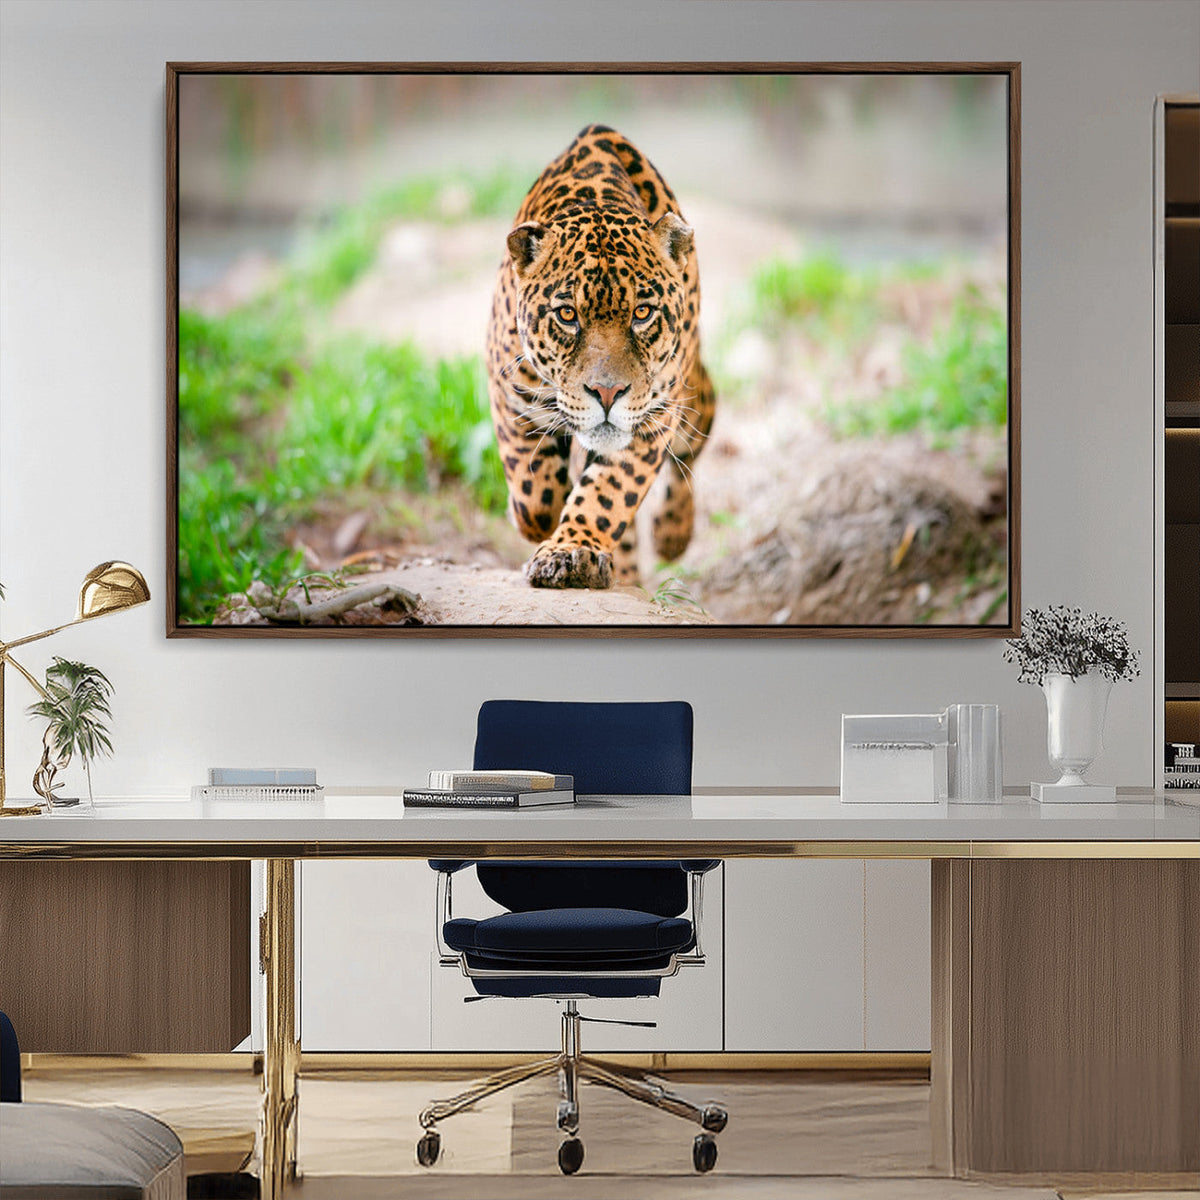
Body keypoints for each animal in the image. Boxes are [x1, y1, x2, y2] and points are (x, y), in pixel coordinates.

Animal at [485, 124, 716, 589]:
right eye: (567, 315)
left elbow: (607, 493)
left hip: (692, 399)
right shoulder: (509, 392)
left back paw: (672, 535)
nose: (607, 394)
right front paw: (538, 521)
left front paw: (572, 551)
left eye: (642, 313)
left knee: (693, 443)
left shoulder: (652, 418)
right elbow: (534, 494)